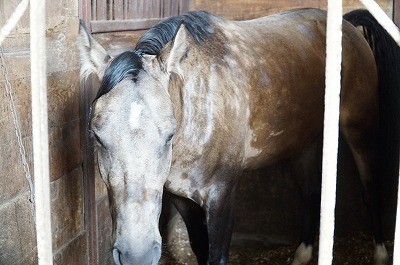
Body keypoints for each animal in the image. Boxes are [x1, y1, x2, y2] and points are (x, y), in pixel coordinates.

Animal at [78, 7, 400, 262]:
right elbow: (200, 249)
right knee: (311, 194)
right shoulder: (181, 198)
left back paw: (381, 254)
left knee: (370, 189)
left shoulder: (222, 196)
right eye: (97, 137)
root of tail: (348, 26)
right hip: (305, 143)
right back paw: (302, 254)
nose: (137, 254)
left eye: (169, 134)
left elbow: (218, 255)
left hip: (360, 130)